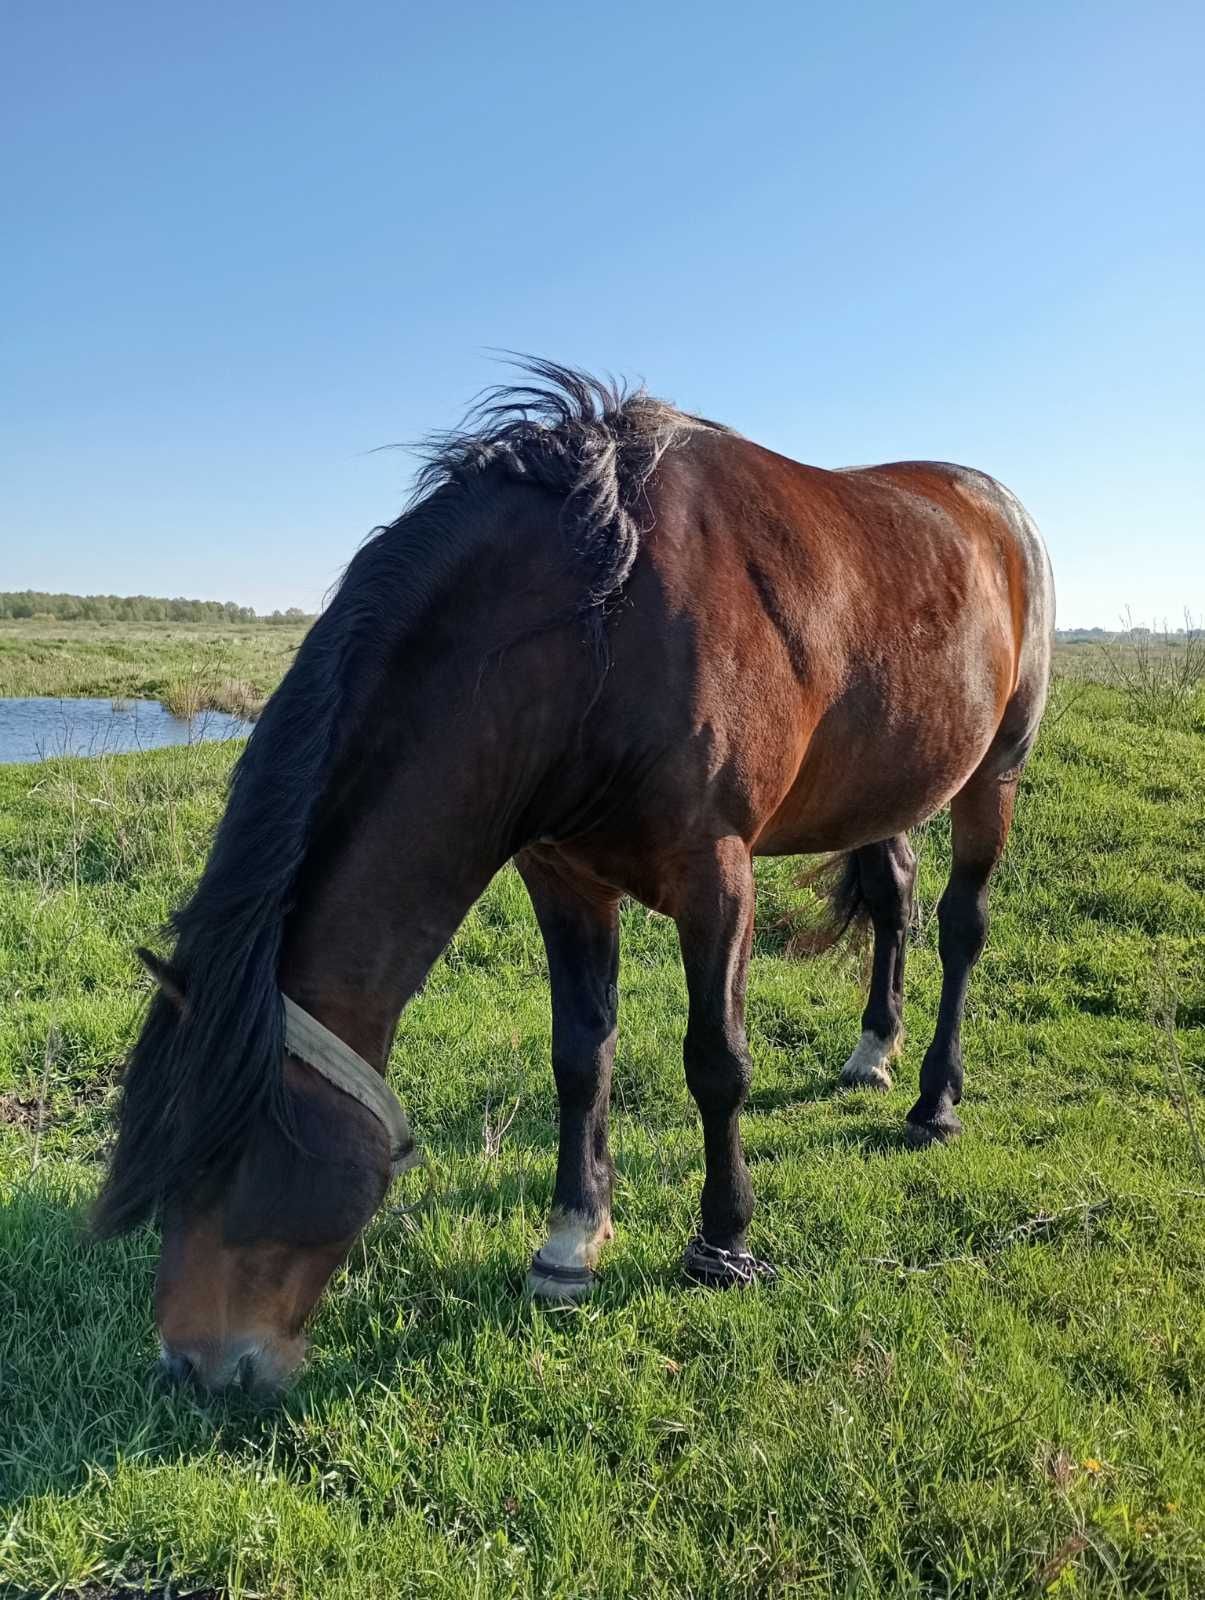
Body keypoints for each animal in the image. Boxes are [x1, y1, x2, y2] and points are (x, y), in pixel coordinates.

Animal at [98, 360, 1049, 1388]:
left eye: (232, 1150)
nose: (190, 1365)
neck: (602, 628)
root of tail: (992, 506)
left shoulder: (716, 875)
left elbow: (716, 1062)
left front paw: (723, 1244)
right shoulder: (561, 878)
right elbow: (579, 1056)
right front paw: (568, 1242)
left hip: (992, 775)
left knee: (959, 926)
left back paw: (934, 1102)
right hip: (880, 787)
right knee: (894, 897)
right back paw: (873, 1050)